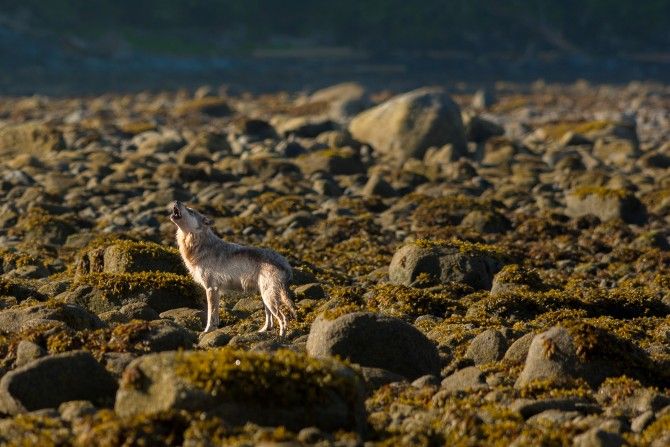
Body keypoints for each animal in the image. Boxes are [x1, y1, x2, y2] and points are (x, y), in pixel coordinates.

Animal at [169, 202, 296, 336]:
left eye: (191, 211)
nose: (176, 201)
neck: (199, 245)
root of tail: (285, 263)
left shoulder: (211, 288)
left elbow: (211, 314)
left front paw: (207, 331)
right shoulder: (215, 290)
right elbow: (215, 314)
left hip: (269, 298)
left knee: (283, 318)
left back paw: (282, 336)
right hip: (265, 297)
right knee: (270, 320)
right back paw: (263, 331)